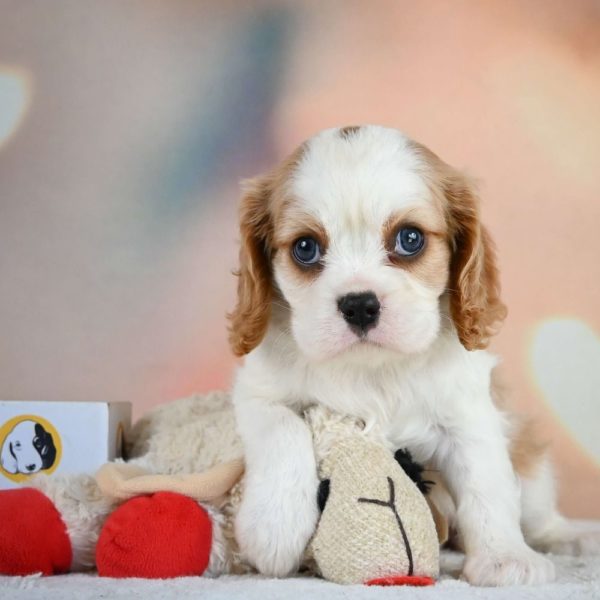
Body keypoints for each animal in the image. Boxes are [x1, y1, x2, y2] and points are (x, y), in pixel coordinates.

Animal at [227, 125, 596, 584]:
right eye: (306, 247)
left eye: (409, 239)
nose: (360, 305)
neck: (374, 368)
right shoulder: (256, 394)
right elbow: (283, 430)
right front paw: (273, 528)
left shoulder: (467, 413)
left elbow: (486, 484)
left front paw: (505, 557)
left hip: (531, 467)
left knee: (539, 510)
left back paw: (570, 537)